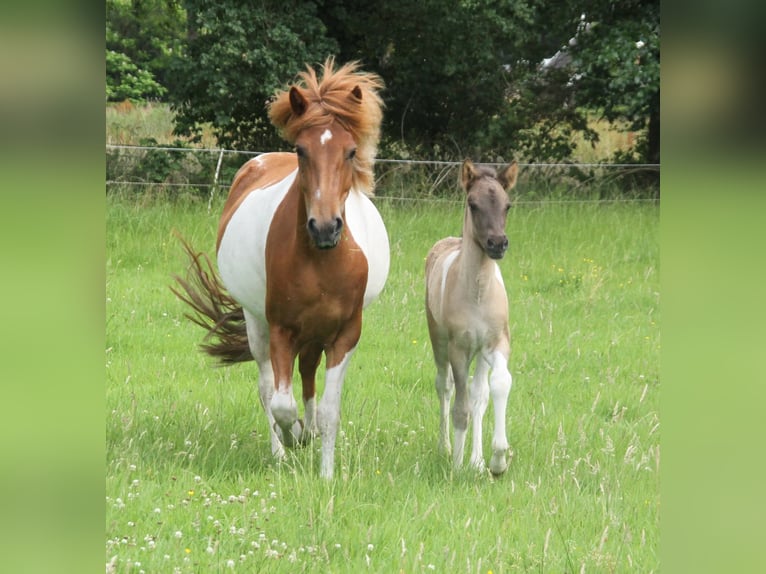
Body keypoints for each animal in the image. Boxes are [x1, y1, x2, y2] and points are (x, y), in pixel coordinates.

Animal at [172, 59, 389, 479]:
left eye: (351, 151)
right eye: (302, 150)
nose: (325, 227)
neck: (322, 259)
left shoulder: (345, 334)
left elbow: (329, 410)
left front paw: (325, 473)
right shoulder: (281, 329)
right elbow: (281, 404)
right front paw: (292, 438)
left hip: (315, 334)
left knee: (307, 378)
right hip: (258, 323)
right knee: (269, 388)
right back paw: (282, 449)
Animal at [424, 159, 519, 476]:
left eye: (507, 205)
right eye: (472, 203)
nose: (497, 243)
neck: (477, 293)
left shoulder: (496, 343)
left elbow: (497, 385)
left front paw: (497, 460)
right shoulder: (459, 349)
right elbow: (460, 407)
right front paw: (456, 464)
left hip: (479, 353)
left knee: (479, 394)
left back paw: (476, 461)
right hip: (439, 341)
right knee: (445, 386)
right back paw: (447, 449)